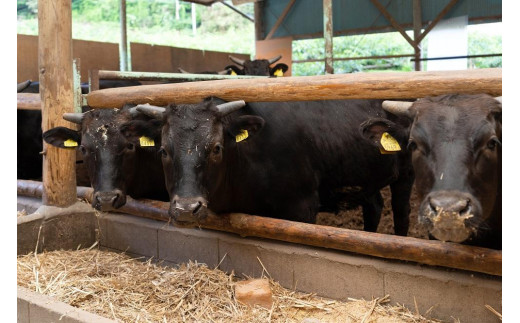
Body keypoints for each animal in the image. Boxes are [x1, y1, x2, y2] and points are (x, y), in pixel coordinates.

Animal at [131, 97, 414, 235]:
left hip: (405, 176)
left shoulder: (303, 207)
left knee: (401, 213)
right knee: (374, 206)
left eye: (217, 148)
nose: (187, 209)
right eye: (163, 150)